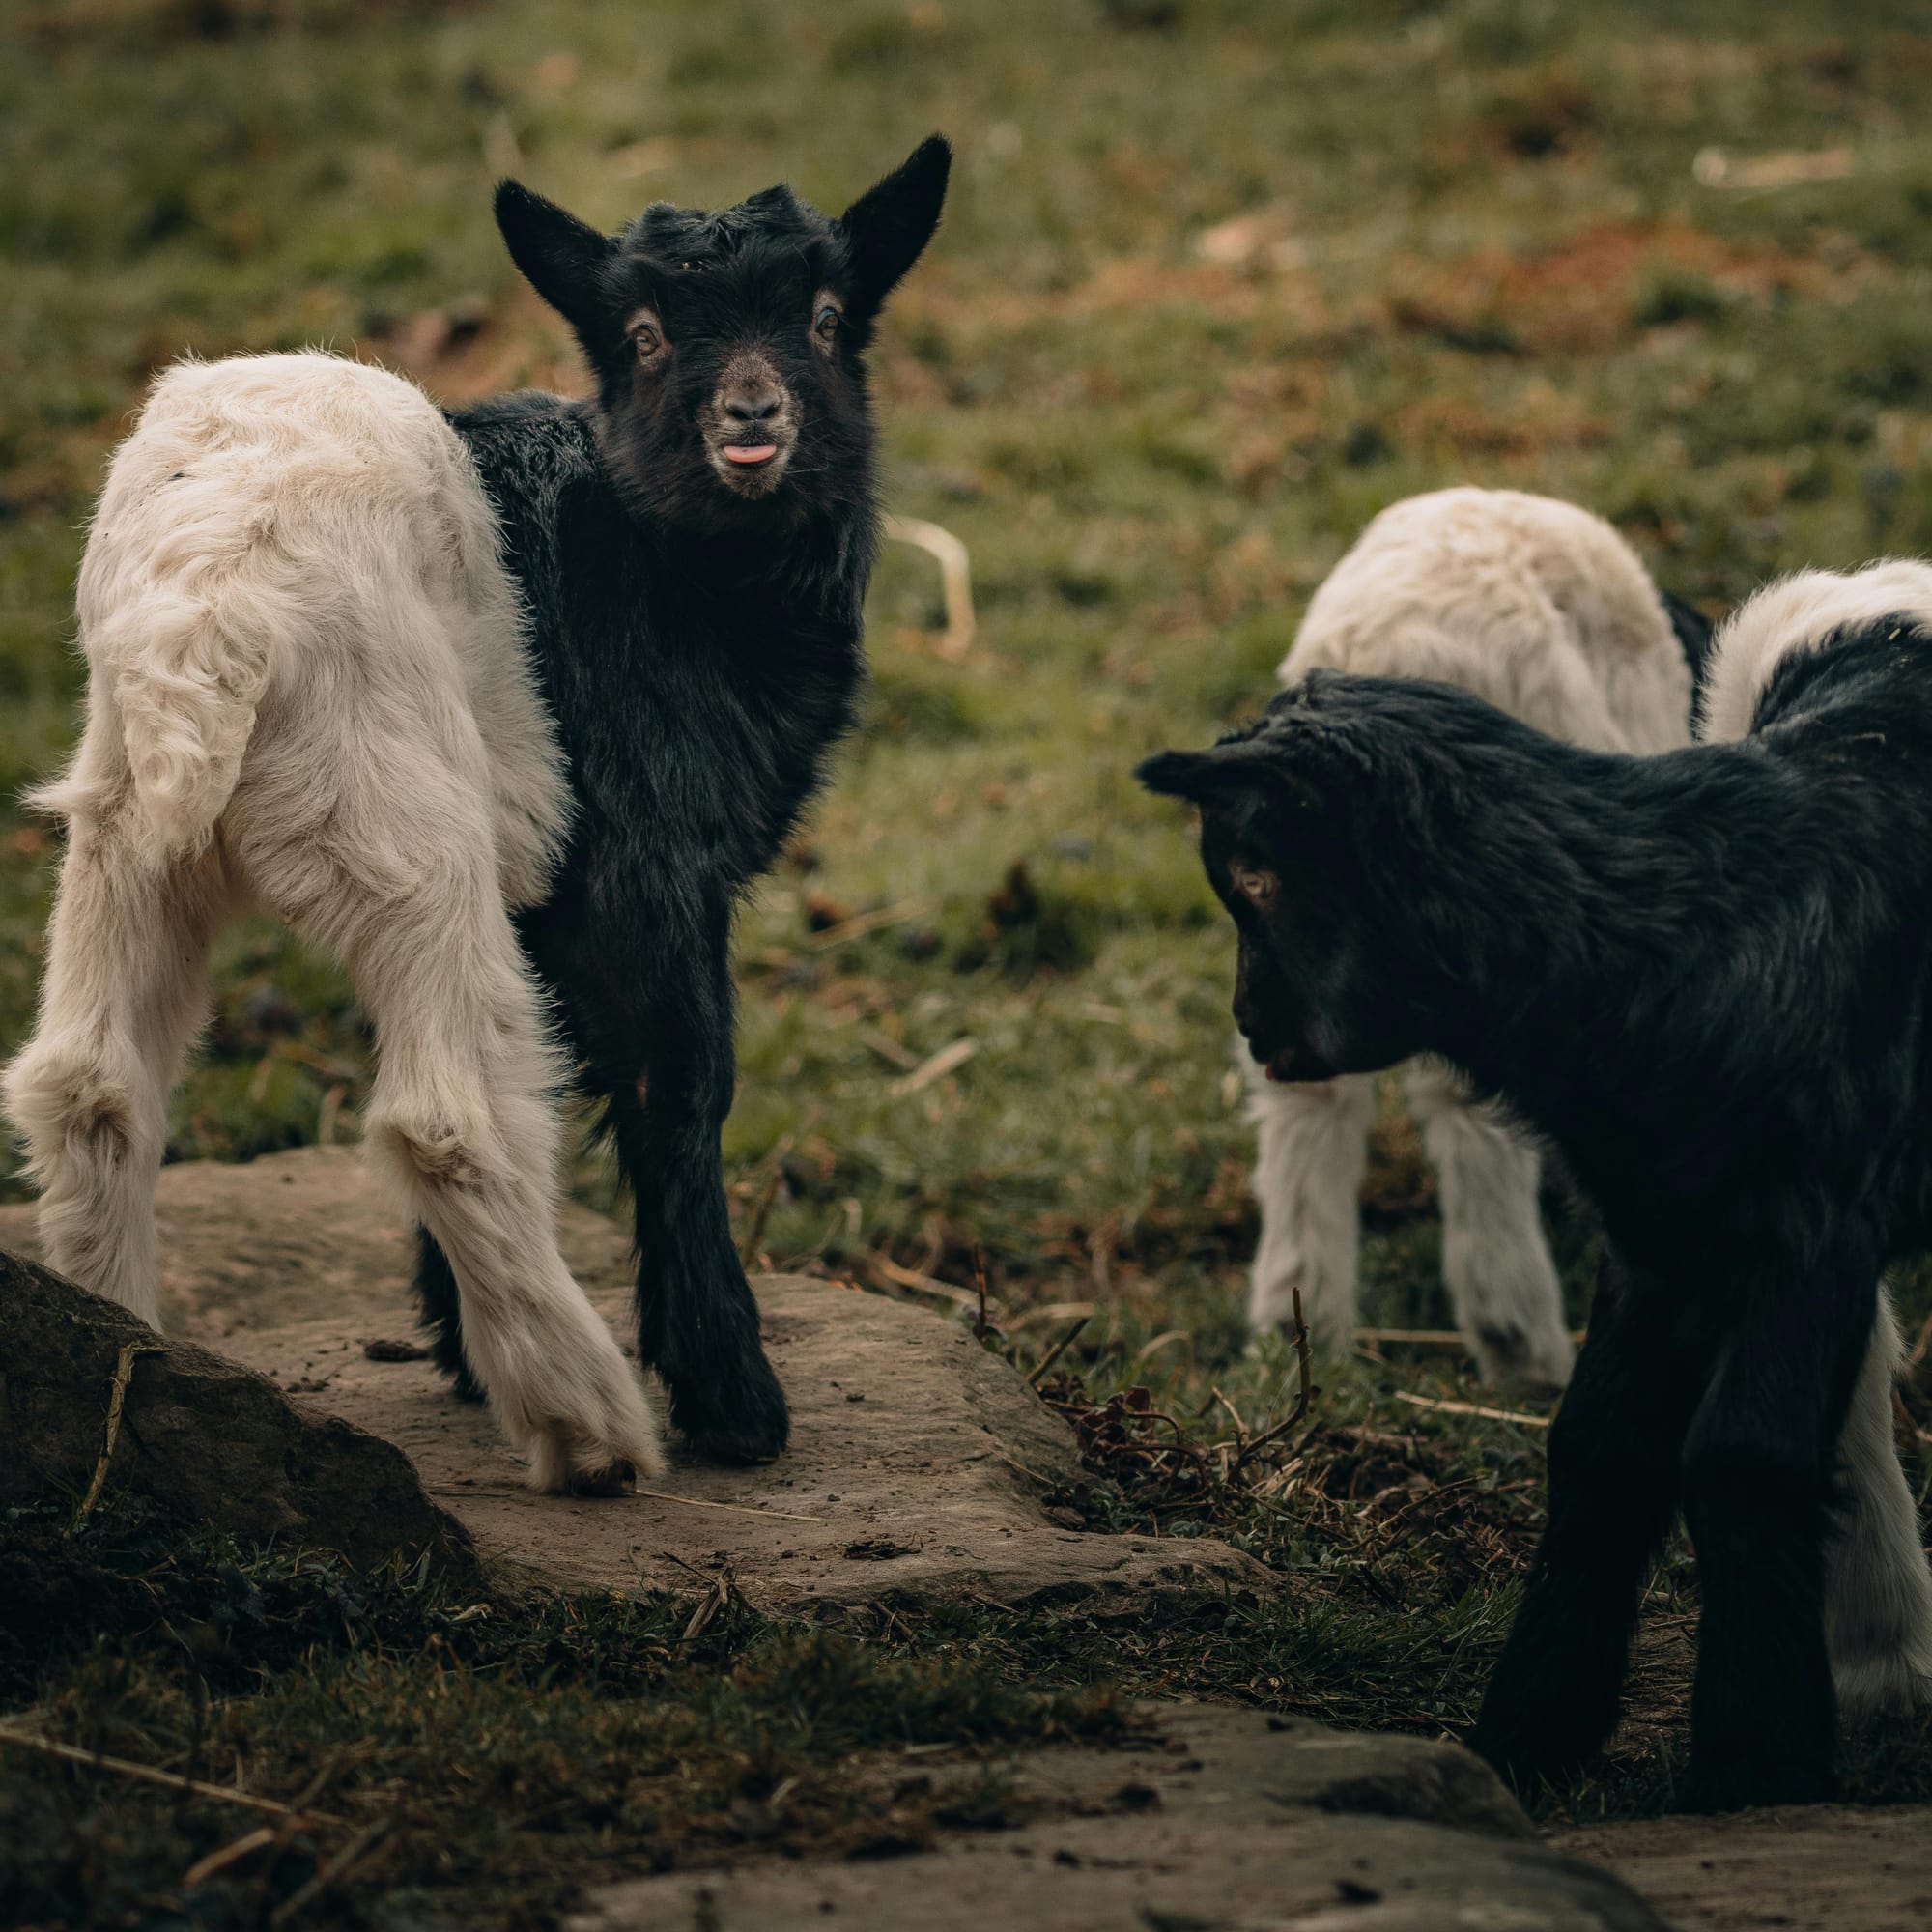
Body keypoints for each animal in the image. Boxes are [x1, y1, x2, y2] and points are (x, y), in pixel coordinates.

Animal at [3, 137, 950, 1488]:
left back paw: (126, 1366)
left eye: (826, 317)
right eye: (643, 335)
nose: (752, 419)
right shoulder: (647, 860)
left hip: (128, 818)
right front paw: (730, 1399)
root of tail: (213, 599)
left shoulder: (550, 886)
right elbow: (679, 1083)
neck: (673, 569)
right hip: (406, 824)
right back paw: (591, 1426)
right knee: (448, 1115)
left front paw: (455, 1348)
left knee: (89, 1084)